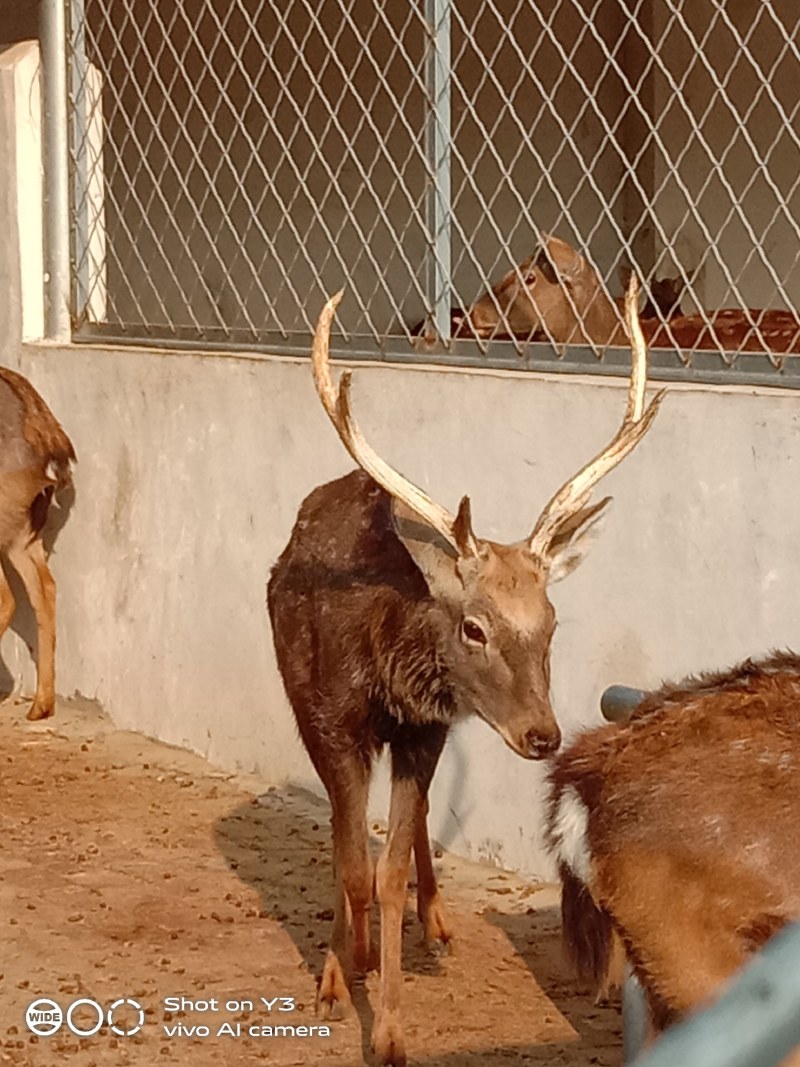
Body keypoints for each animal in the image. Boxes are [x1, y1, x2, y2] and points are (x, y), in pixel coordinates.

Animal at [266, 277, 663, 1065]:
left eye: (551, 621)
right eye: (474, 626)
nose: (543, 735)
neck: (381, 663)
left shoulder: (424, 730)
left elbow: (387, 871)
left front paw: (390, 1028)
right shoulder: (331, 719)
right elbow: (351, 861)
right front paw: (340, 975)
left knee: (411, 829)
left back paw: (437, 919)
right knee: (344, 834)